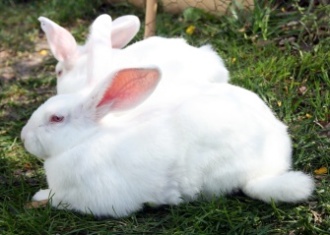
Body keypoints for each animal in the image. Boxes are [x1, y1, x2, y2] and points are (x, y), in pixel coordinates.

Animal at [21, 64, 314, 218]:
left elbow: (59, 201)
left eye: (56, 118)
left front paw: (40, 198)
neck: (85, 140)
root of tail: (270, 166)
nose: (24, 137)